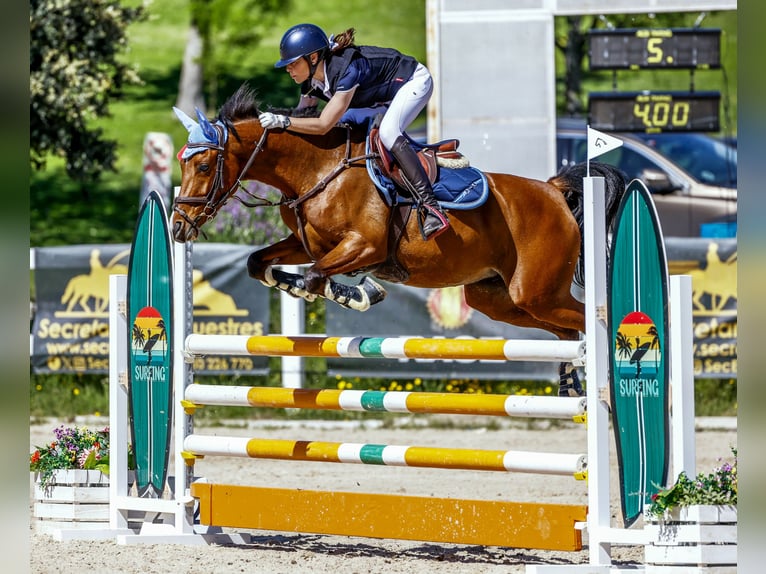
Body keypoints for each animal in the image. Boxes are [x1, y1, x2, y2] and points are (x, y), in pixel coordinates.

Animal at [174, 85, 632, 398]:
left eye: (203, 164)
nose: (179, 226)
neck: (315, 168)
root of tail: (553, 190)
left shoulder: (365, 246)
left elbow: (318, 278)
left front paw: (360, 293)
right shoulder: (307, 243)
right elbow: (261, 263)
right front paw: (294, 284)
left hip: (537, 291)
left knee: (589, 318)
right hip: (503, 300)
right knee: (566, 331)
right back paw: (572, 385)